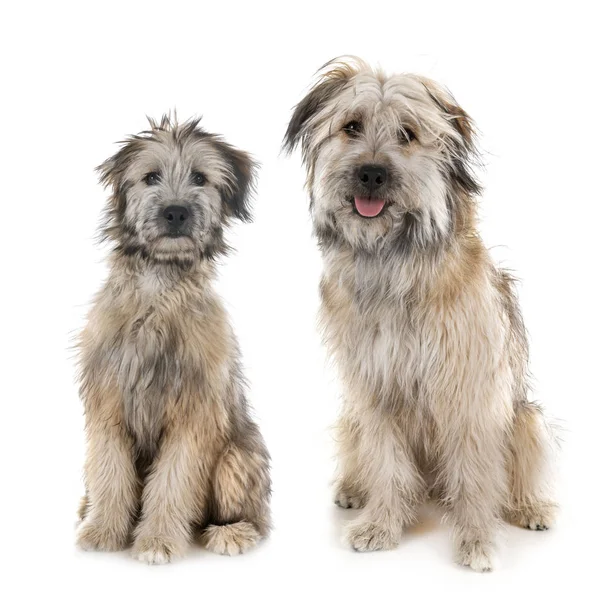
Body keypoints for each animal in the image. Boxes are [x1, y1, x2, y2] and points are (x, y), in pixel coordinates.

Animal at [76, 115, 270, 564]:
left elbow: (173, 482)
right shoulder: (108, 407)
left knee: (257, 516)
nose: (175, 212)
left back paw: (233, 533)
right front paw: (103, 530)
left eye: (200, 177)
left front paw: (158, 540)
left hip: (238, 454)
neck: (157, 291)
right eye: (150, 177)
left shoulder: (193, 417)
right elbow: (110, 472)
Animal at [284, 59, 556, 572]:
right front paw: (381, 525)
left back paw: (529, 506)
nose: (371, 174)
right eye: (352, 126)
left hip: (525, 418)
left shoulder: (470, 389)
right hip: (352, 417)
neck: (393, 259)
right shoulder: (374, 387)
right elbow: (387, 462)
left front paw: (476, 539)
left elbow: (475, 474)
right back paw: (354, 490)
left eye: (407, 134)